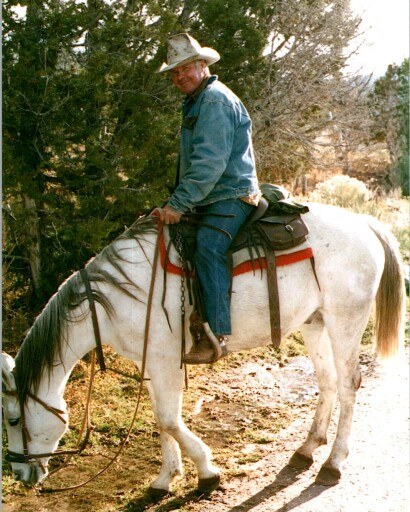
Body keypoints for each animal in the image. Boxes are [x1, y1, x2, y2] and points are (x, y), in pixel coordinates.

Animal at [2, 202, 405, 494]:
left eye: (13, 419)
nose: (20, 472)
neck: (115, 298)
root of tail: (365, 223)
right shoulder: (152, 363)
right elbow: (161, 420)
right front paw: (165, 479)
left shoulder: (166, 361)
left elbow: (169, 420)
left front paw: (207, 473)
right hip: (314, 323)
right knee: (327, 381)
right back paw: (306, 450)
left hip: (344, 322)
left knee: (349, 384)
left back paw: (332, 464)